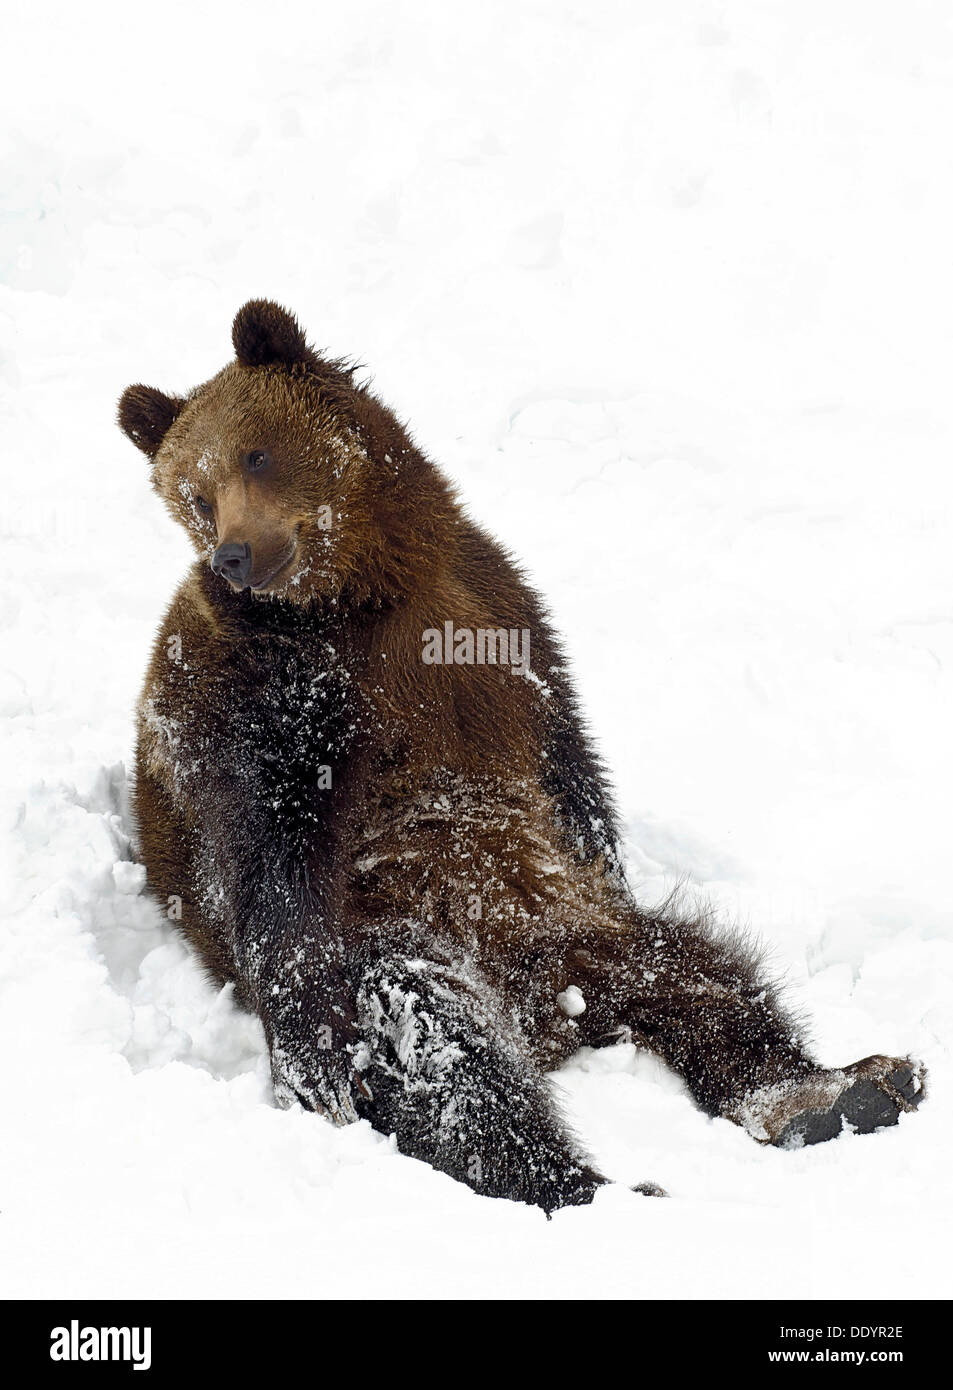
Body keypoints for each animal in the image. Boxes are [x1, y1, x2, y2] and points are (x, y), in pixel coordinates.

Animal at [117, 298, 927, 1212]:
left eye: (255, 452)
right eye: (193, 493)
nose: (235, 554)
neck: (363, 595)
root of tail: (547, 1013)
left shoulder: (494, 621)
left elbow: (569, 765)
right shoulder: (266, 696)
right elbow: (271, 858)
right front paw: (316, 1057)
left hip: (590, 932)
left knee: (700, 976)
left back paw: (838, 1089)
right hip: (406, 940)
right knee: (439, 1051)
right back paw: (589, 1184)